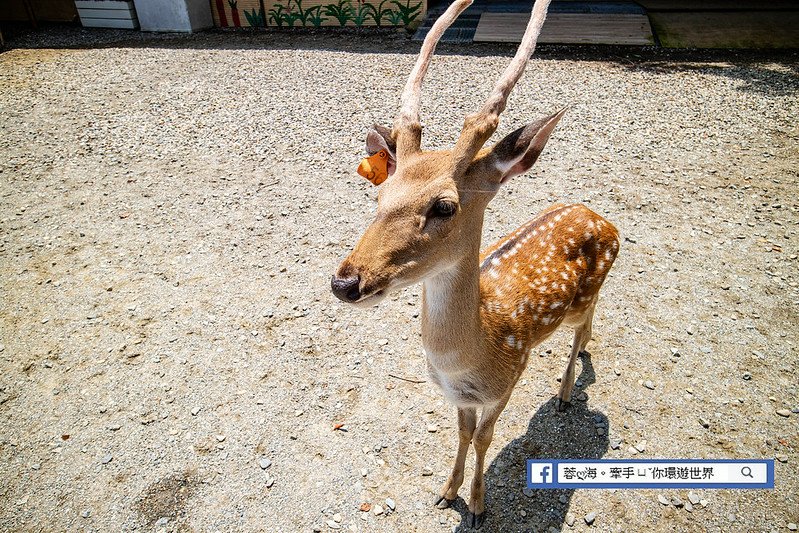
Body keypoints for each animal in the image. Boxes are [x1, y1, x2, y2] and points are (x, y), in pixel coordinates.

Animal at [330, 0, 620, 524]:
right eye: (380, 193)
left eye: (444, 206)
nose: (345, 282)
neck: (472, 358)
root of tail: (602, 219)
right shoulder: (457, 397)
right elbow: (464, 433)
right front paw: (447, 492)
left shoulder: (507, 381)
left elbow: (486, 437)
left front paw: (482, 506)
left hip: (589, 293)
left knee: (583, 326)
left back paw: (567, 393)